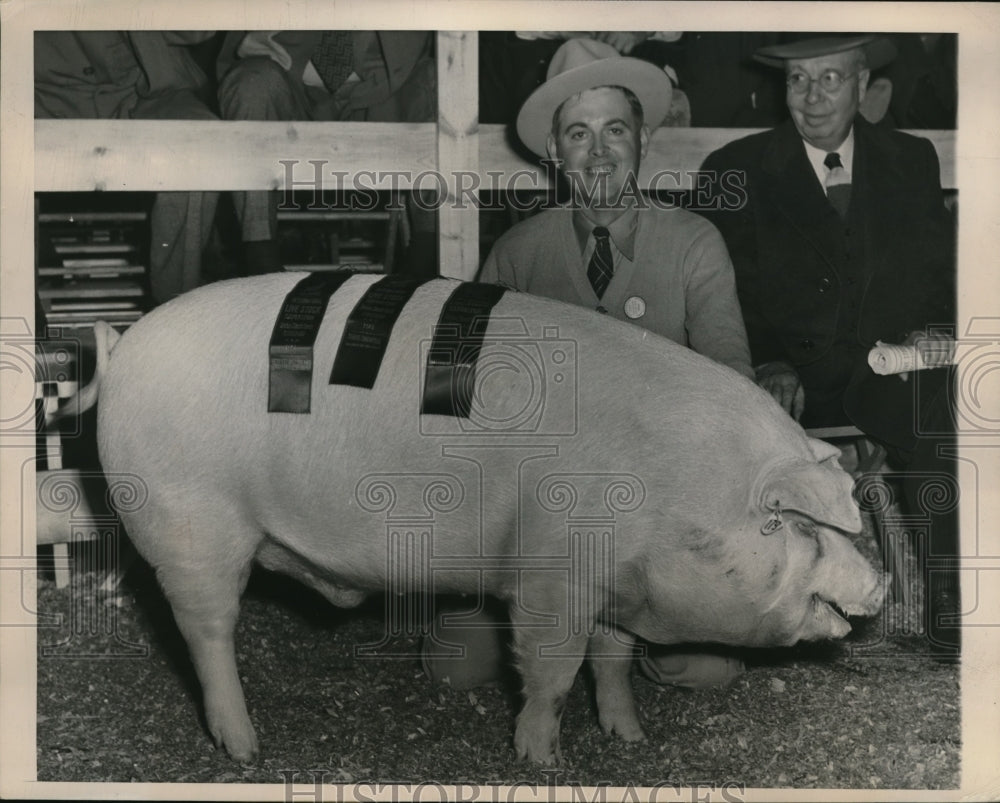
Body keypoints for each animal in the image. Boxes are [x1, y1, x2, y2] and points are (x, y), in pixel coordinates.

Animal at [82, 274, 888, 768]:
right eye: (800, 527)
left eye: (846, 528)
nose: (880, 585)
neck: (674, 489)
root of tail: (122, 348)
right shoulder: (551, 578)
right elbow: (552, 669)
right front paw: (542, 758)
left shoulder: (613, 585)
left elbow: (612, 659)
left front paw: (629, 736)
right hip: (190, 523)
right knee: (206, 629)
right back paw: (245, 748)